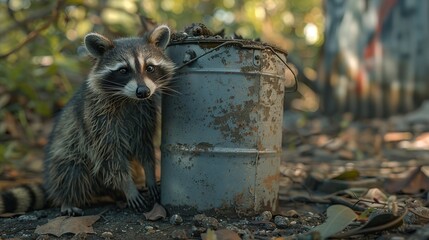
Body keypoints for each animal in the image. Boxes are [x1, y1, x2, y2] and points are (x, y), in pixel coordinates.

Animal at [0, 24, 176, 216]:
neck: (129, 99)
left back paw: (117, 193)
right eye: (123, 70)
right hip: (66, 153)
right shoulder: (97, 120)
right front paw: (128, 186)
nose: (143, 91)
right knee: (72, 170)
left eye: (150, 68)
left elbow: (145, 148)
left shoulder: (144, 117)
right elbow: (110, 156)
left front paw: (150, 175)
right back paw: (67, 199)